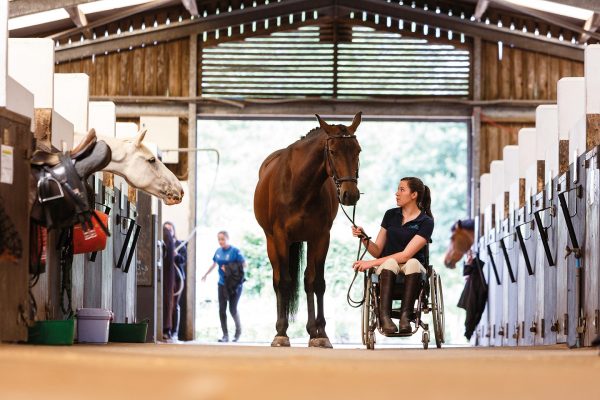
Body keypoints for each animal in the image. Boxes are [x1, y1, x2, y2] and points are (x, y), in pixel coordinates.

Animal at [253, 112, 360, 346]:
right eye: (333, 151)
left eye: (358, 150)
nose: (350, 194)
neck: (300, 186)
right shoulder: (281, 237)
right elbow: (284, 282)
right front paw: (282, 333)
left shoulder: (320, 237)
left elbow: (316, 282)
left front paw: (320, 334)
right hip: (271, 241)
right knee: (277, 280)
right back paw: (280, 328)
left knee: (306, 279)